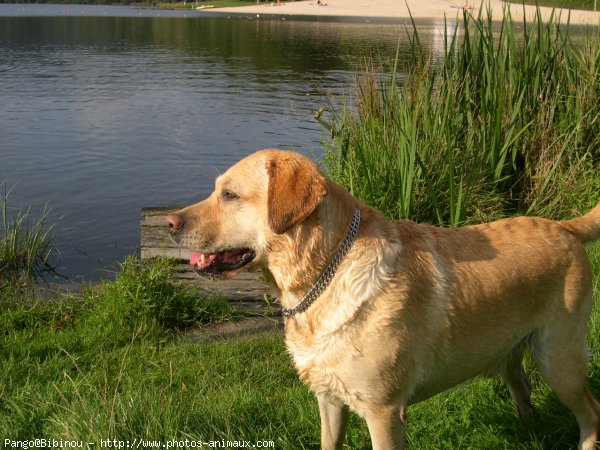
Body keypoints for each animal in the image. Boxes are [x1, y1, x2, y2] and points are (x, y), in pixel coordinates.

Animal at [164, 149, 600, 448]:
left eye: (230, 195)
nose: (169, 222)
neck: (325, 274)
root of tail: (564, 226)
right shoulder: (328, 400)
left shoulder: (384, 413)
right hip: (510, 352)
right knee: (523, 390)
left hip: (559, 360)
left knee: (591, 413)